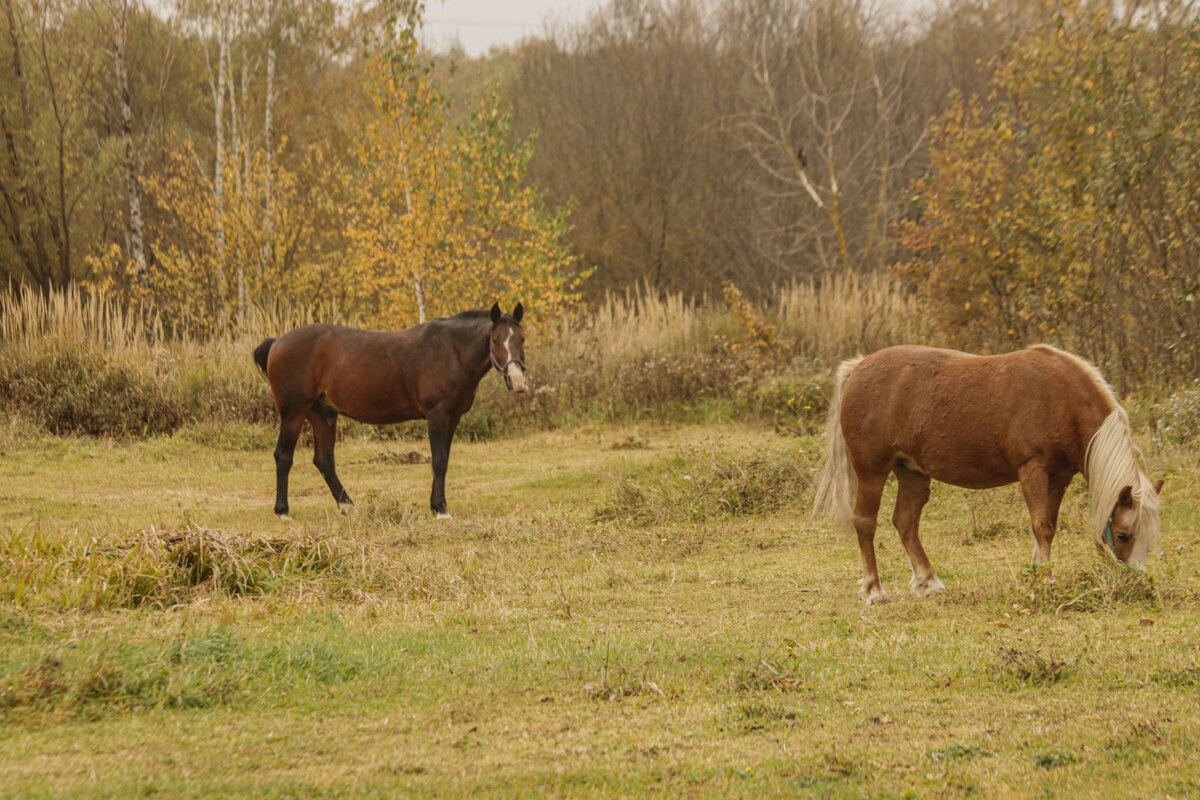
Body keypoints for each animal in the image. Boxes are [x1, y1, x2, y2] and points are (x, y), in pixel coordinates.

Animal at [255, 303, 528, 522]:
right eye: (495, 340)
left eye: (522, 339)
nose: (518, 381)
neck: (451, 350)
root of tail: (277, 342)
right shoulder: (437, 415)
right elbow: (438, 461)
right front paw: (440, 510)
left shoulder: (453, 417)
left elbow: (444, 461)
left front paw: (437, 505)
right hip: (294, 413)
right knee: (283, 457)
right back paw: (283, 511)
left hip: (322, 415)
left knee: (324, 461)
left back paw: (348, 507)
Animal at [811, 345, 1156, 606]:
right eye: (1122, 535)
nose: (1135, 584)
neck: (1062, 398)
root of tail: (858, 367)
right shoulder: (1033, 471)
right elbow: (1041, 527)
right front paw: (1044, 581)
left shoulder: (1059, 478)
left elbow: (1048, 527)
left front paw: (1037, 575)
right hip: (872, 472)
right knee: (866, 524)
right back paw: (875, 591)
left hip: (912, 473)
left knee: (906, 522)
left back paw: (930, 582)